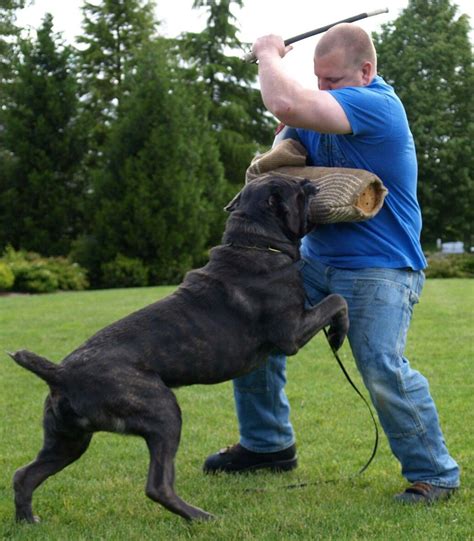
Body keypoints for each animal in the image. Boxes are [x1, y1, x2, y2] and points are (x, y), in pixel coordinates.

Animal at [7, 173, 348, 520]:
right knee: (158, 485)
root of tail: (61, 374)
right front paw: (337, 334)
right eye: (297, 187)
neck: (255, 241)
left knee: (24, 475)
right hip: (163, 414)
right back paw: (201, 517)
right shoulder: (292, 332)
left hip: (68, 440)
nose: (310, 181)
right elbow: (337, 300)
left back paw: (27, 520)